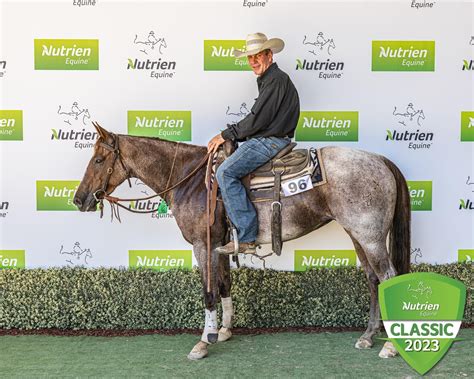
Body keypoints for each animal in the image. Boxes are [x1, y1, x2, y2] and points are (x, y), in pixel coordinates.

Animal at [72, 124, 410, 362]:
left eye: (99, 159)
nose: (79, 199)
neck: (190, 180)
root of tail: (380, 160)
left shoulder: (202, 245)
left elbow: (208, 292)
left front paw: (203, 342)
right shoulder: (220, 245)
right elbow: (224, 284)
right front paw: (223, 331)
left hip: (370, 236)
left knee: (389, 278)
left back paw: (392, 347)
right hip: (359, 236)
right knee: (373, 280)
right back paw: (368, 336)